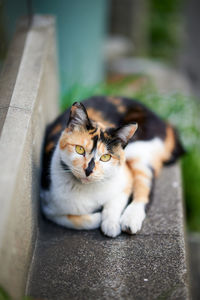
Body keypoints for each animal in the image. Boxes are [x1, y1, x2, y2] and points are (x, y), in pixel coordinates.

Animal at [41, 96, 184, 237]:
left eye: (105, 157)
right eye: (79, 149)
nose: (88, 170)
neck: (87, 189)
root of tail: (162, 120)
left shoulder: (125, 181)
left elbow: (114, 203)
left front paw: (111, 225)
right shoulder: (48, 207)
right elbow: (74, 220)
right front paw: (98, 217)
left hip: (138, 149)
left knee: (146, 185)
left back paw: (131, 219)